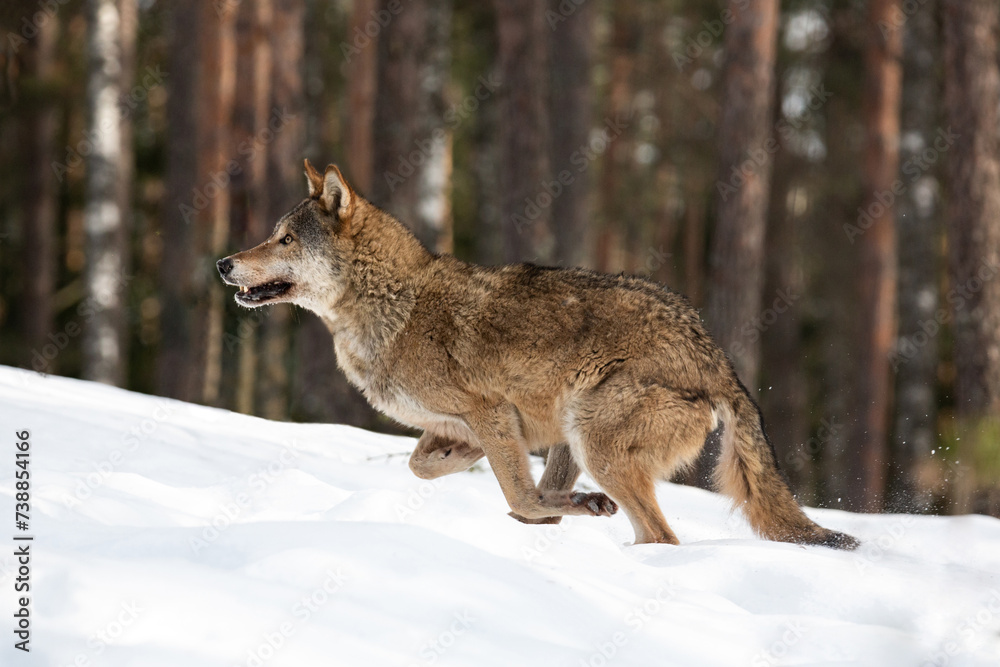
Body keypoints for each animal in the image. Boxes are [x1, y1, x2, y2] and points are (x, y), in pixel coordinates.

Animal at [216, 160, 858, 549]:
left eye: (283, 239)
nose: (223, 263)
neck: (394, 308)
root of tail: (716, 356)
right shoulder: (470, 425)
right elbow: (426, 466)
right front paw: (553, 506)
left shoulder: (491, 411)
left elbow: (518, 496)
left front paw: (553, 508)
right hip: (575, 430)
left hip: (594, 436)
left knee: (660, 536)